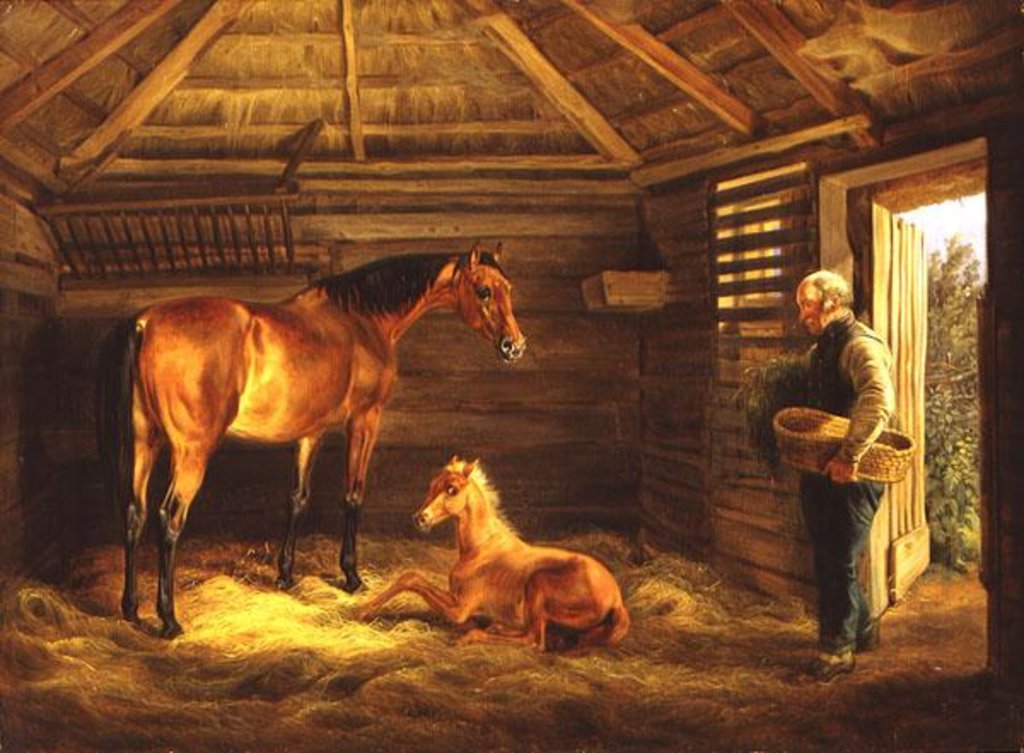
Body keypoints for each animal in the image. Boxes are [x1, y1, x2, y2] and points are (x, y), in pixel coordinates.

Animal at [95, 243, 526, 638]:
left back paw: (131, 610)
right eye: (484, 290)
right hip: (191, 453)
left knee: (134, 514)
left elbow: (297, 498)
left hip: (145, 442)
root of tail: (144, 324)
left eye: (509, 288)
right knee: (169, 519)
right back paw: (169, 620)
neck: (361, 320)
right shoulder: (364, 420)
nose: (514, 346)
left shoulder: (310, 432)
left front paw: (285, 575)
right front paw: (351, 576)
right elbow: (353, 494)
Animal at [356, 456, 630, 654]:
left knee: (534, 640)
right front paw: (364, 607)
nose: (420, 519)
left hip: (538, 583)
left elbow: (413, 578)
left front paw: (362, 609)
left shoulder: (460, 608)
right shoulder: (456, 600)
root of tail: (617, 599)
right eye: (431, 486)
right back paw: (497, 626)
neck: (480, 549)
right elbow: (410, 577)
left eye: (452, 490)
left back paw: (475, 636)